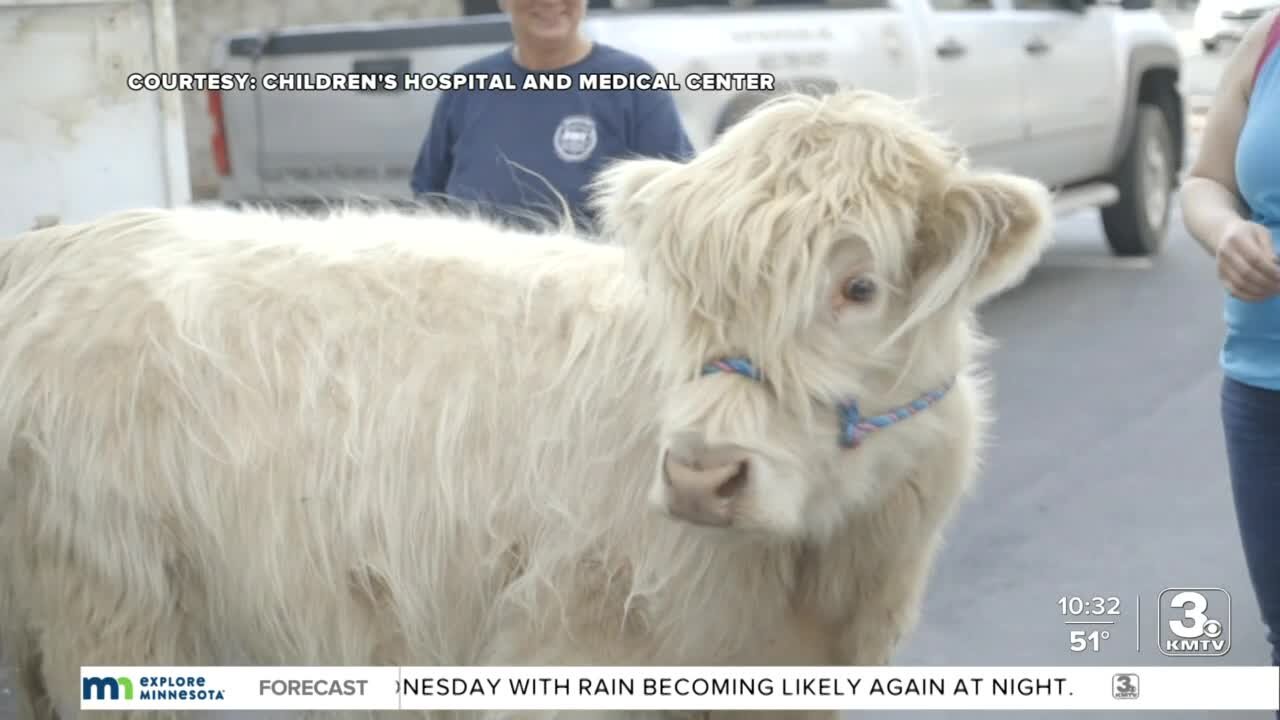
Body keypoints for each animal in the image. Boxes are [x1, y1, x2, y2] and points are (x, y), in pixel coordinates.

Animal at [0, 90, 1049, 717]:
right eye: (684, 291)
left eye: (860, 287)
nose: (700, 476)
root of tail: (54, 247)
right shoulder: (565, 646)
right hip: (112, 602)